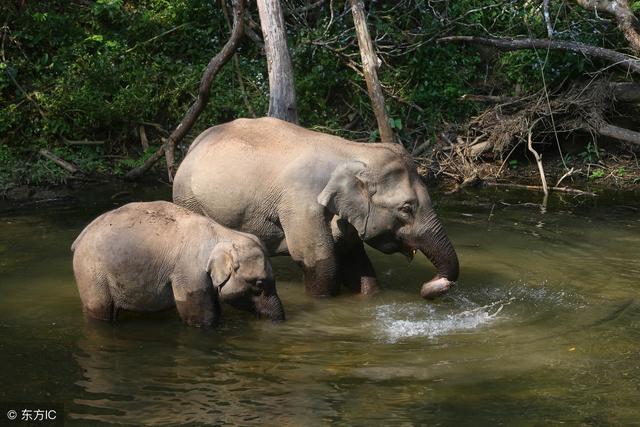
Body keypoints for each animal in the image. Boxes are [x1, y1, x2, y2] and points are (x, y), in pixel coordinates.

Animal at [70, 202, 284, 326]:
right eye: (259, 283)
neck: (223, 233)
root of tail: (78, 239)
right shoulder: (189, 272)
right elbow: (200, 316)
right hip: (91, 272)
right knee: (101, 311)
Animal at [172, 115, 458, 300]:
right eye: (406, 209)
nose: (436, 283)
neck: (353, 151)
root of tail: (192, 145)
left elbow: (356, 263)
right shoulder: (301, 206)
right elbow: (321, 265)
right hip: (189, 199)